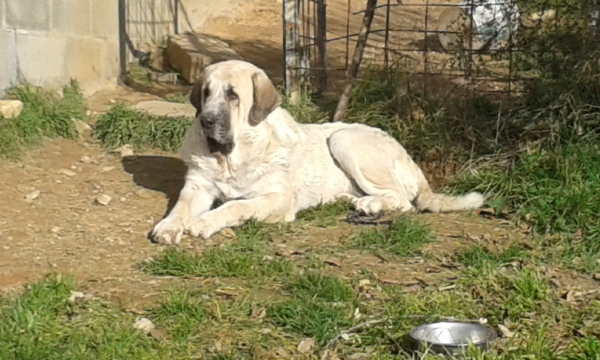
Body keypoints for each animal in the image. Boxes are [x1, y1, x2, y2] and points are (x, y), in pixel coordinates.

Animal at [150, 59, 482, 245]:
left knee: (403, 201)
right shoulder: (197, 187)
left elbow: (236, 206)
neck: (231, 157)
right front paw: (168, 226)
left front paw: (204, 222)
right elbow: (180, 207)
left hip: (344, 139)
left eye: (233, 95)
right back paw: (351, 200)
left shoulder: (277, 198)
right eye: (206, 93)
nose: (206, 120)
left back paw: (370, 204)